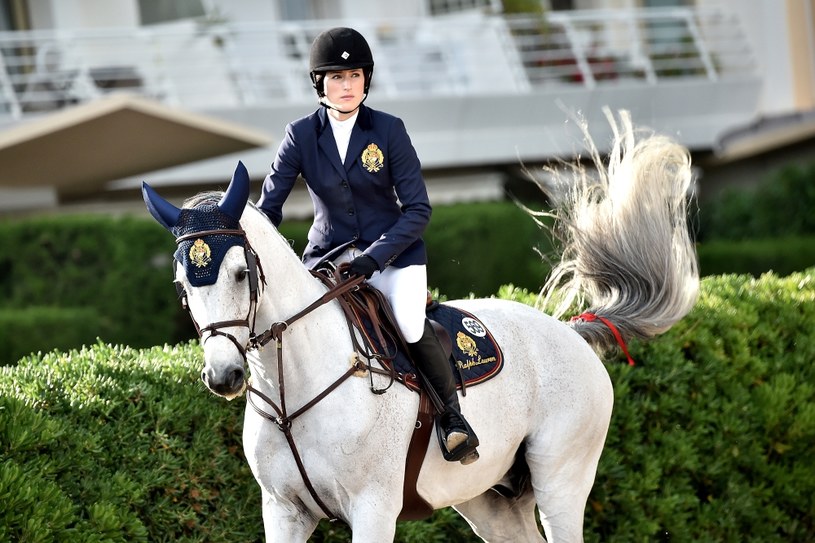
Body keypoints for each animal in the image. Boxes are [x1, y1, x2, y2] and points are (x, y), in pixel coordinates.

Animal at [143, 112, 700, 540]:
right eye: (181, 284)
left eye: (241, 273)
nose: (224, 377)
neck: (292, 393)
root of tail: (571, 332)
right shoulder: (283, 511)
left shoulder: (372, 509)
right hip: (490, 500)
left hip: (561, 479)